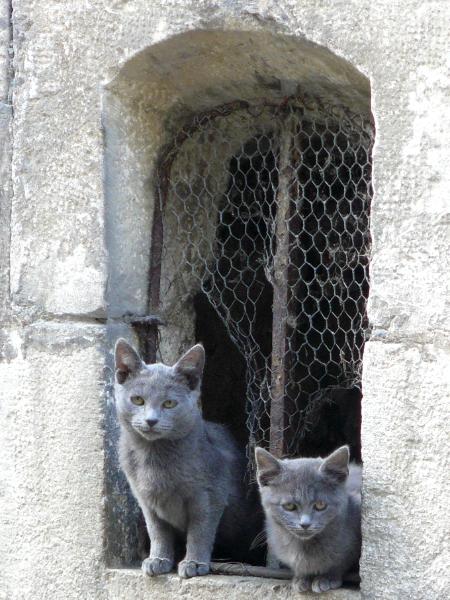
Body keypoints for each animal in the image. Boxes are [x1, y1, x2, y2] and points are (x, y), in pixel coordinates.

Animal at [114, 338, 258, 576]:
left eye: (169, 403)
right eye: (137, 400)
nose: (151, 420)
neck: (154, 458)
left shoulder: (210, 495)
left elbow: (200, 531)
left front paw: (194, 563)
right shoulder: (145, 500)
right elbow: (158, 531)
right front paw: (158, 559)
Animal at [255, 442, 360, 592]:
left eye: (320, 505)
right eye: (289, 506)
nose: (305, 524)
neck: (304, 547)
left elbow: (339, 562)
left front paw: (326, 578)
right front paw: (302, 578)